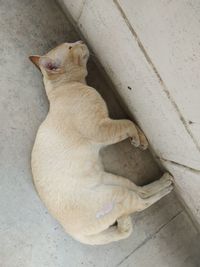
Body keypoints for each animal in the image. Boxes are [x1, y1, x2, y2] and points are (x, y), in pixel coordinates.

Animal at [29, 40, 173, 246]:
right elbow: (128, 123)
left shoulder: (106, 126)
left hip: (113, 181)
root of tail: (73, 233)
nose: (79, 41)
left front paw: (140, 141)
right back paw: (166, 188)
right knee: (141, 203)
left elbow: (132, 124)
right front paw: (138, 139)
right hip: (117, 195)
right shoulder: (101, 128)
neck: (70, 86)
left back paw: (164, 181)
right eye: (70, 47)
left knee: (141, 192)